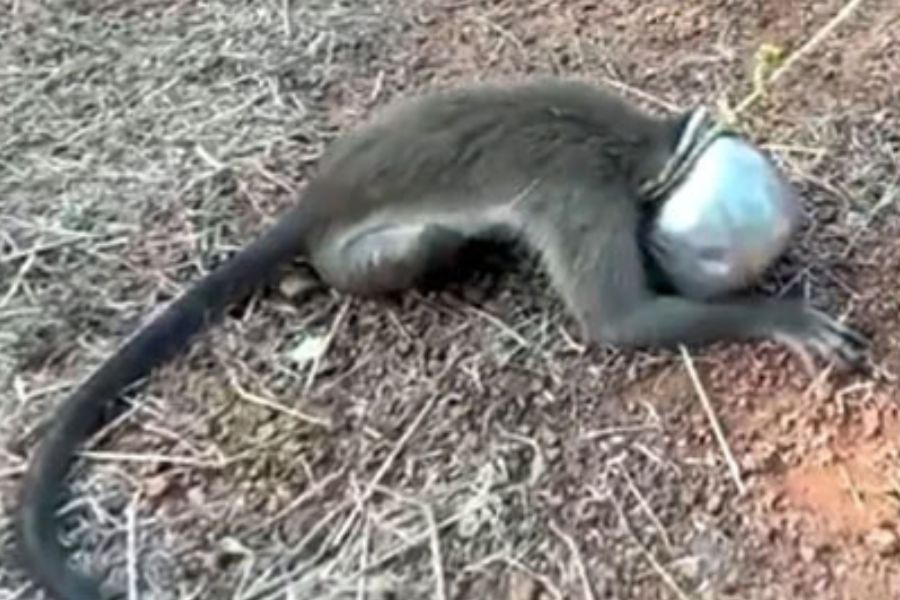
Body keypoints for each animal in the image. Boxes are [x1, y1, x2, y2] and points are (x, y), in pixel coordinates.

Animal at [15, 77, 868, 600]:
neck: (641, 144)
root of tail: (321, 196)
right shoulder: (587, 198)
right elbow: (617, 323)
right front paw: (779, 317)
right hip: (362, 255)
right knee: (424, 243)